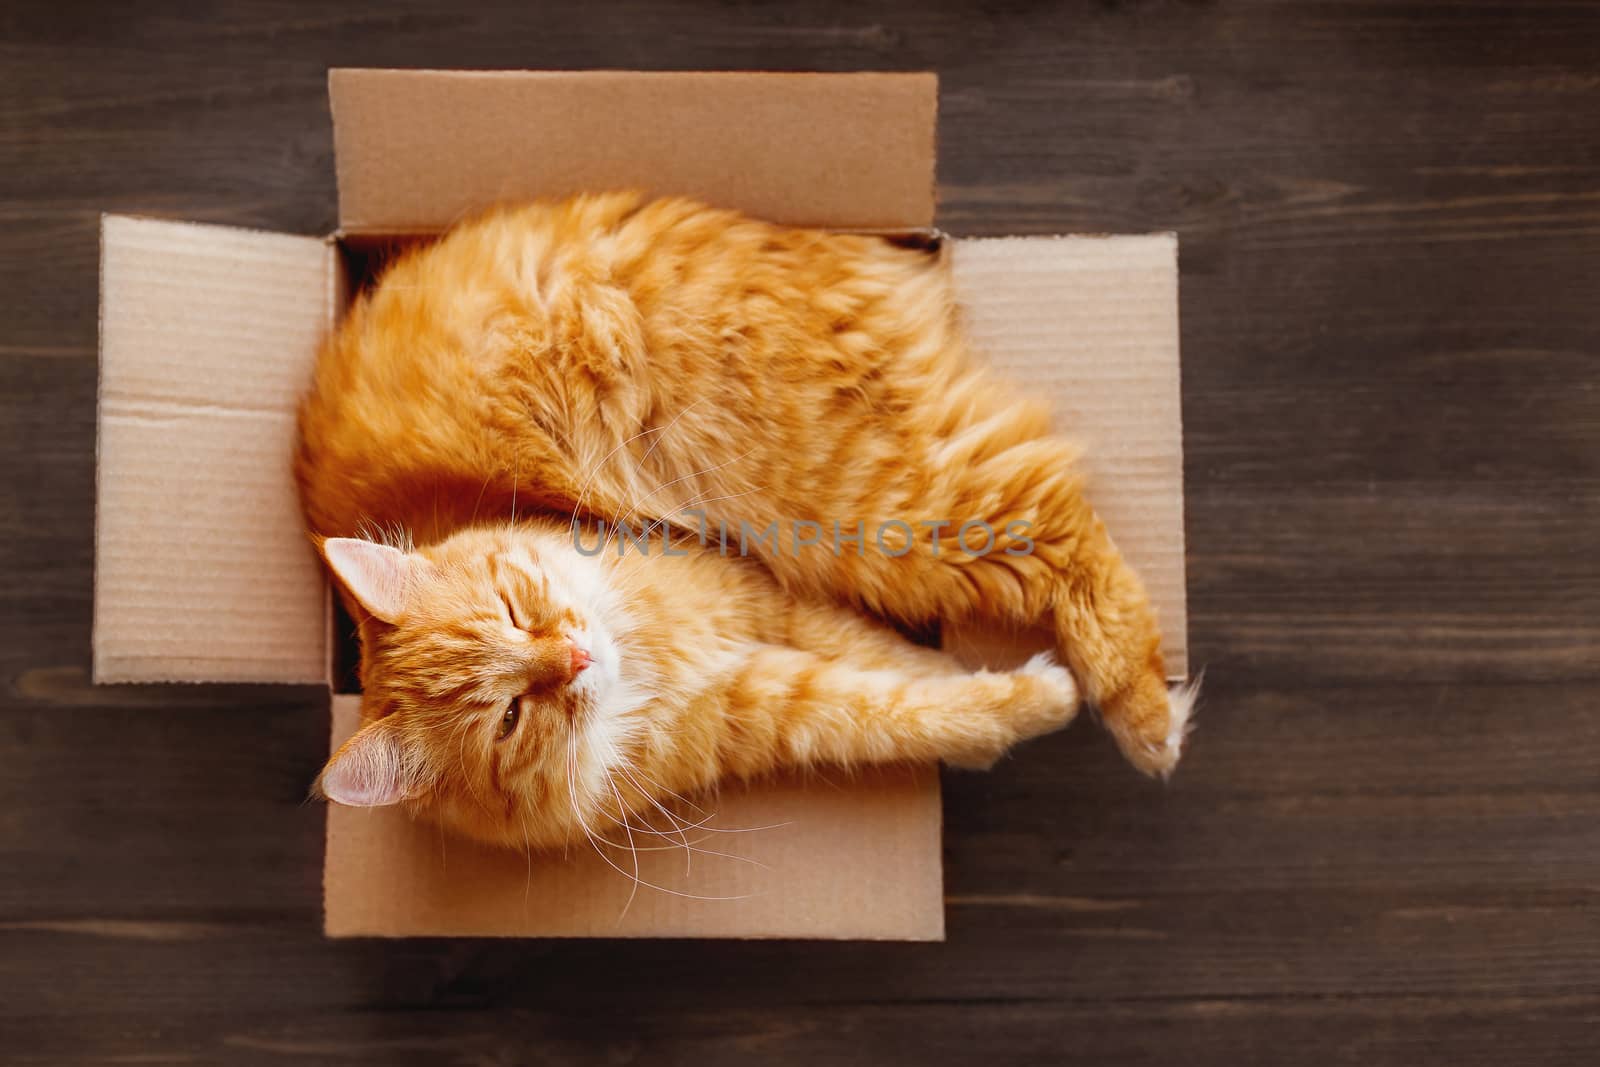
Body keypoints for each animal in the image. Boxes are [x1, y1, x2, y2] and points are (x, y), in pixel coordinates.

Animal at [297, 191, 1203, 851]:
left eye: (516, 609)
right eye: (511, 716)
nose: (575, 655)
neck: (648, 662)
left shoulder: (765, 598)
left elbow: (890, 663)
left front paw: (1033, 696)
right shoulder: (764, 704)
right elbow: (900, 704)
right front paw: (994, 712)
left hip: (867, 509)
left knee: (1064, 526)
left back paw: (1147, 721)